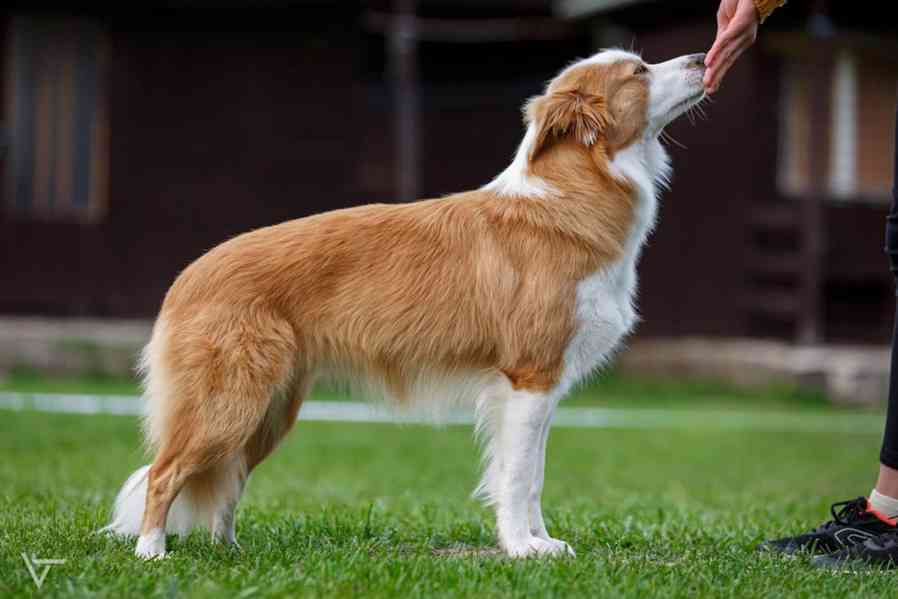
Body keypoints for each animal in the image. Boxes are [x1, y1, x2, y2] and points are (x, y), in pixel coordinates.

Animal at [105, 49, 704, 560]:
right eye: (639, 71)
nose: (703, 58)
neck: (572, 193)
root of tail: (187, 278)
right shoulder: (528, 377)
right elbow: (517, 478)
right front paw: (522, 549)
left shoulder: (541, 387)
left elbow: (531, 476)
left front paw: (541, 541)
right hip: (228, 402)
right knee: (163, 473)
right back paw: (152, 552)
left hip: (269, 411)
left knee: (227, 481)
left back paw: (227, 549)